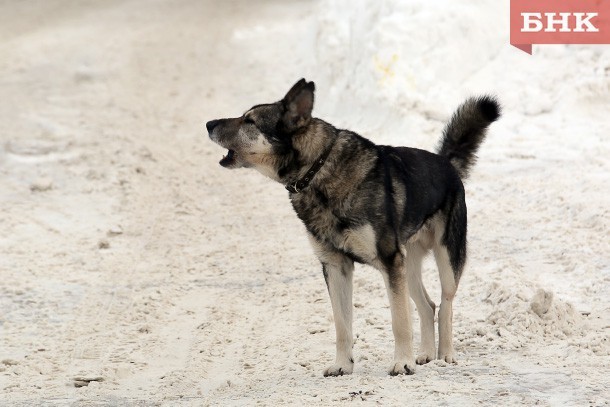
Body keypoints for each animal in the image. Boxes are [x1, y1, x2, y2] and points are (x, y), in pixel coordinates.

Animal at [205, 78, 498, 378]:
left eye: (249, 120)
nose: (208, 123)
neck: (318, 169)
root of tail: (446, 162)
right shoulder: (336, 267)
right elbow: (342, 326)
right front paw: (342, 365)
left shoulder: (390, 262)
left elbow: (399, 321)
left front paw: (402, 363)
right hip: (409, 266)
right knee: (428, 306)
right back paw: (426, 354)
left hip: (445, 260)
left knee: (446, 304)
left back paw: (446, 355)